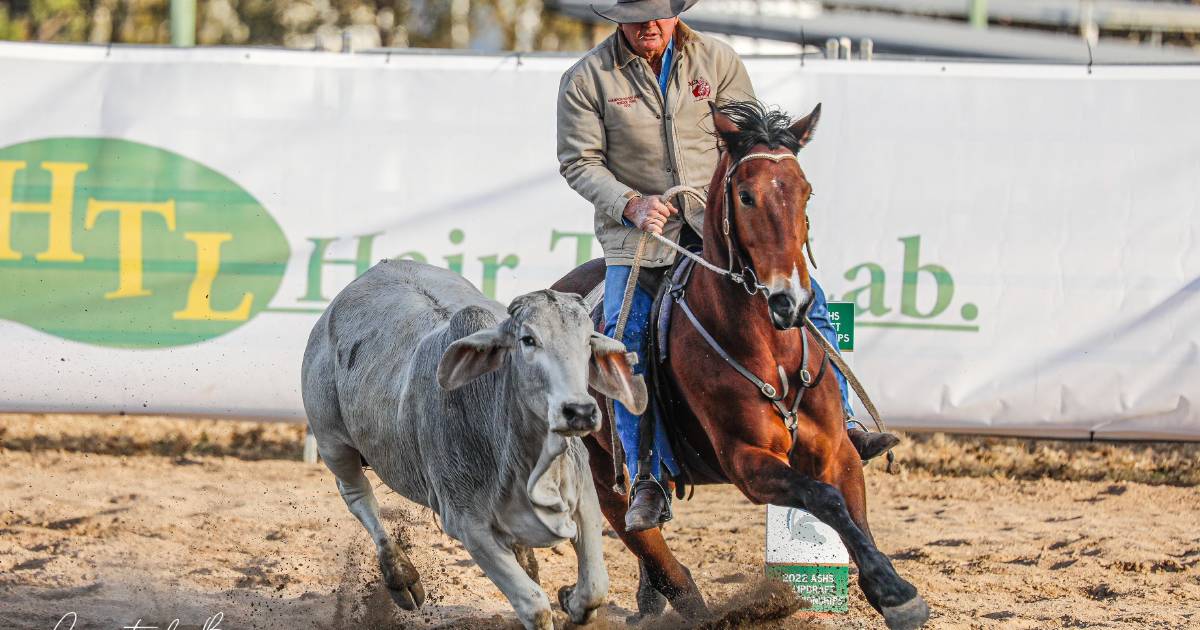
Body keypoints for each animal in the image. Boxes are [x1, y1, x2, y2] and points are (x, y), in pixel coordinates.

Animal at [549, 100, 926, 624]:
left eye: (805, 192)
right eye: (746, 197)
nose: (791, 300)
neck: (769, 349)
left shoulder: (837, 452)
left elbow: (851, 513)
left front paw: (891, 589)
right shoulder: (748, 461)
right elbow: (825, 500)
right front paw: (894, 591)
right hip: (605, 477)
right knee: (653, 547)